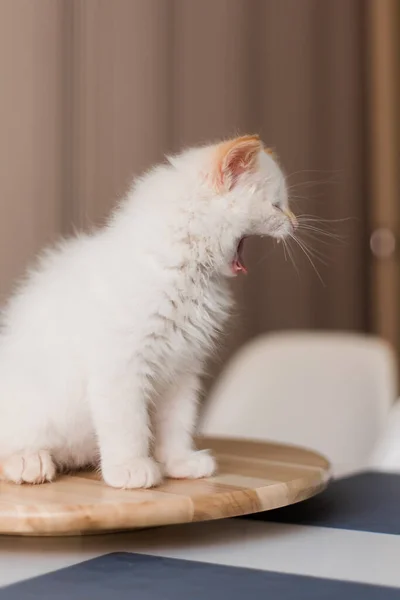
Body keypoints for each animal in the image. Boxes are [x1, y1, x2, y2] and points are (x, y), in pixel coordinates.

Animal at [0, 136, 294, 488]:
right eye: (277, 205)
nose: (295, 222)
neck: (188, 275)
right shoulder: (122, 367)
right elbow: (129, 427)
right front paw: (130, 469)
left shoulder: (182, 371)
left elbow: (177, 424)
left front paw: (180, 463)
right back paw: (28, 462)